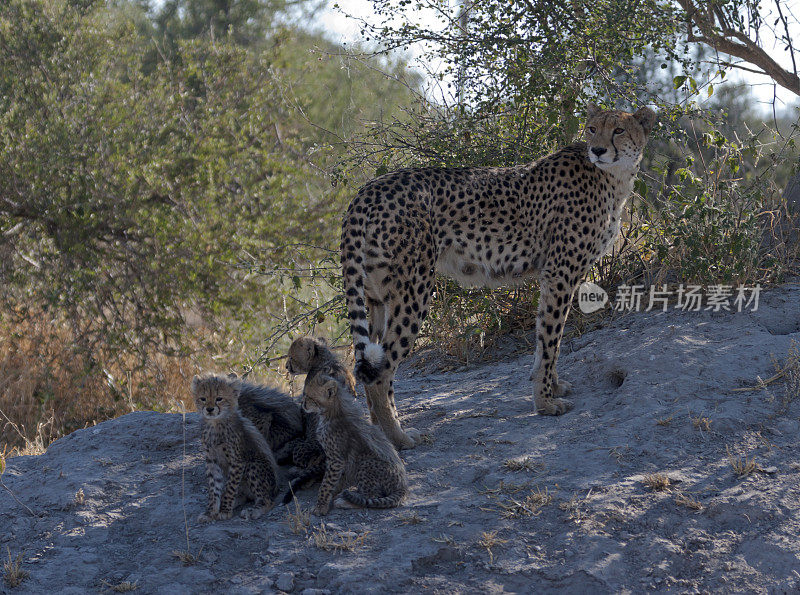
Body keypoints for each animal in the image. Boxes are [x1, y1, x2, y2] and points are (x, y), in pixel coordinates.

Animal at [340, 103, 656, 448]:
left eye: (618, 130)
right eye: (592, 129)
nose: (597, 150)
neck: (613, 176)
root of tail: (369, 188)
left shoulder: (555, 275)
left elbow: (547, 339)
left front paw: (552, 387)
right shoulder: (560, 272)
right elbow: (551, 339)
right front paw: (546, 403)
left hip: (377, 295)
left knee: (368, 363)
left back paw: (378, 436)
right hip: (413, 289)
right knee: (382, 370)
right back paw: (400, 437)